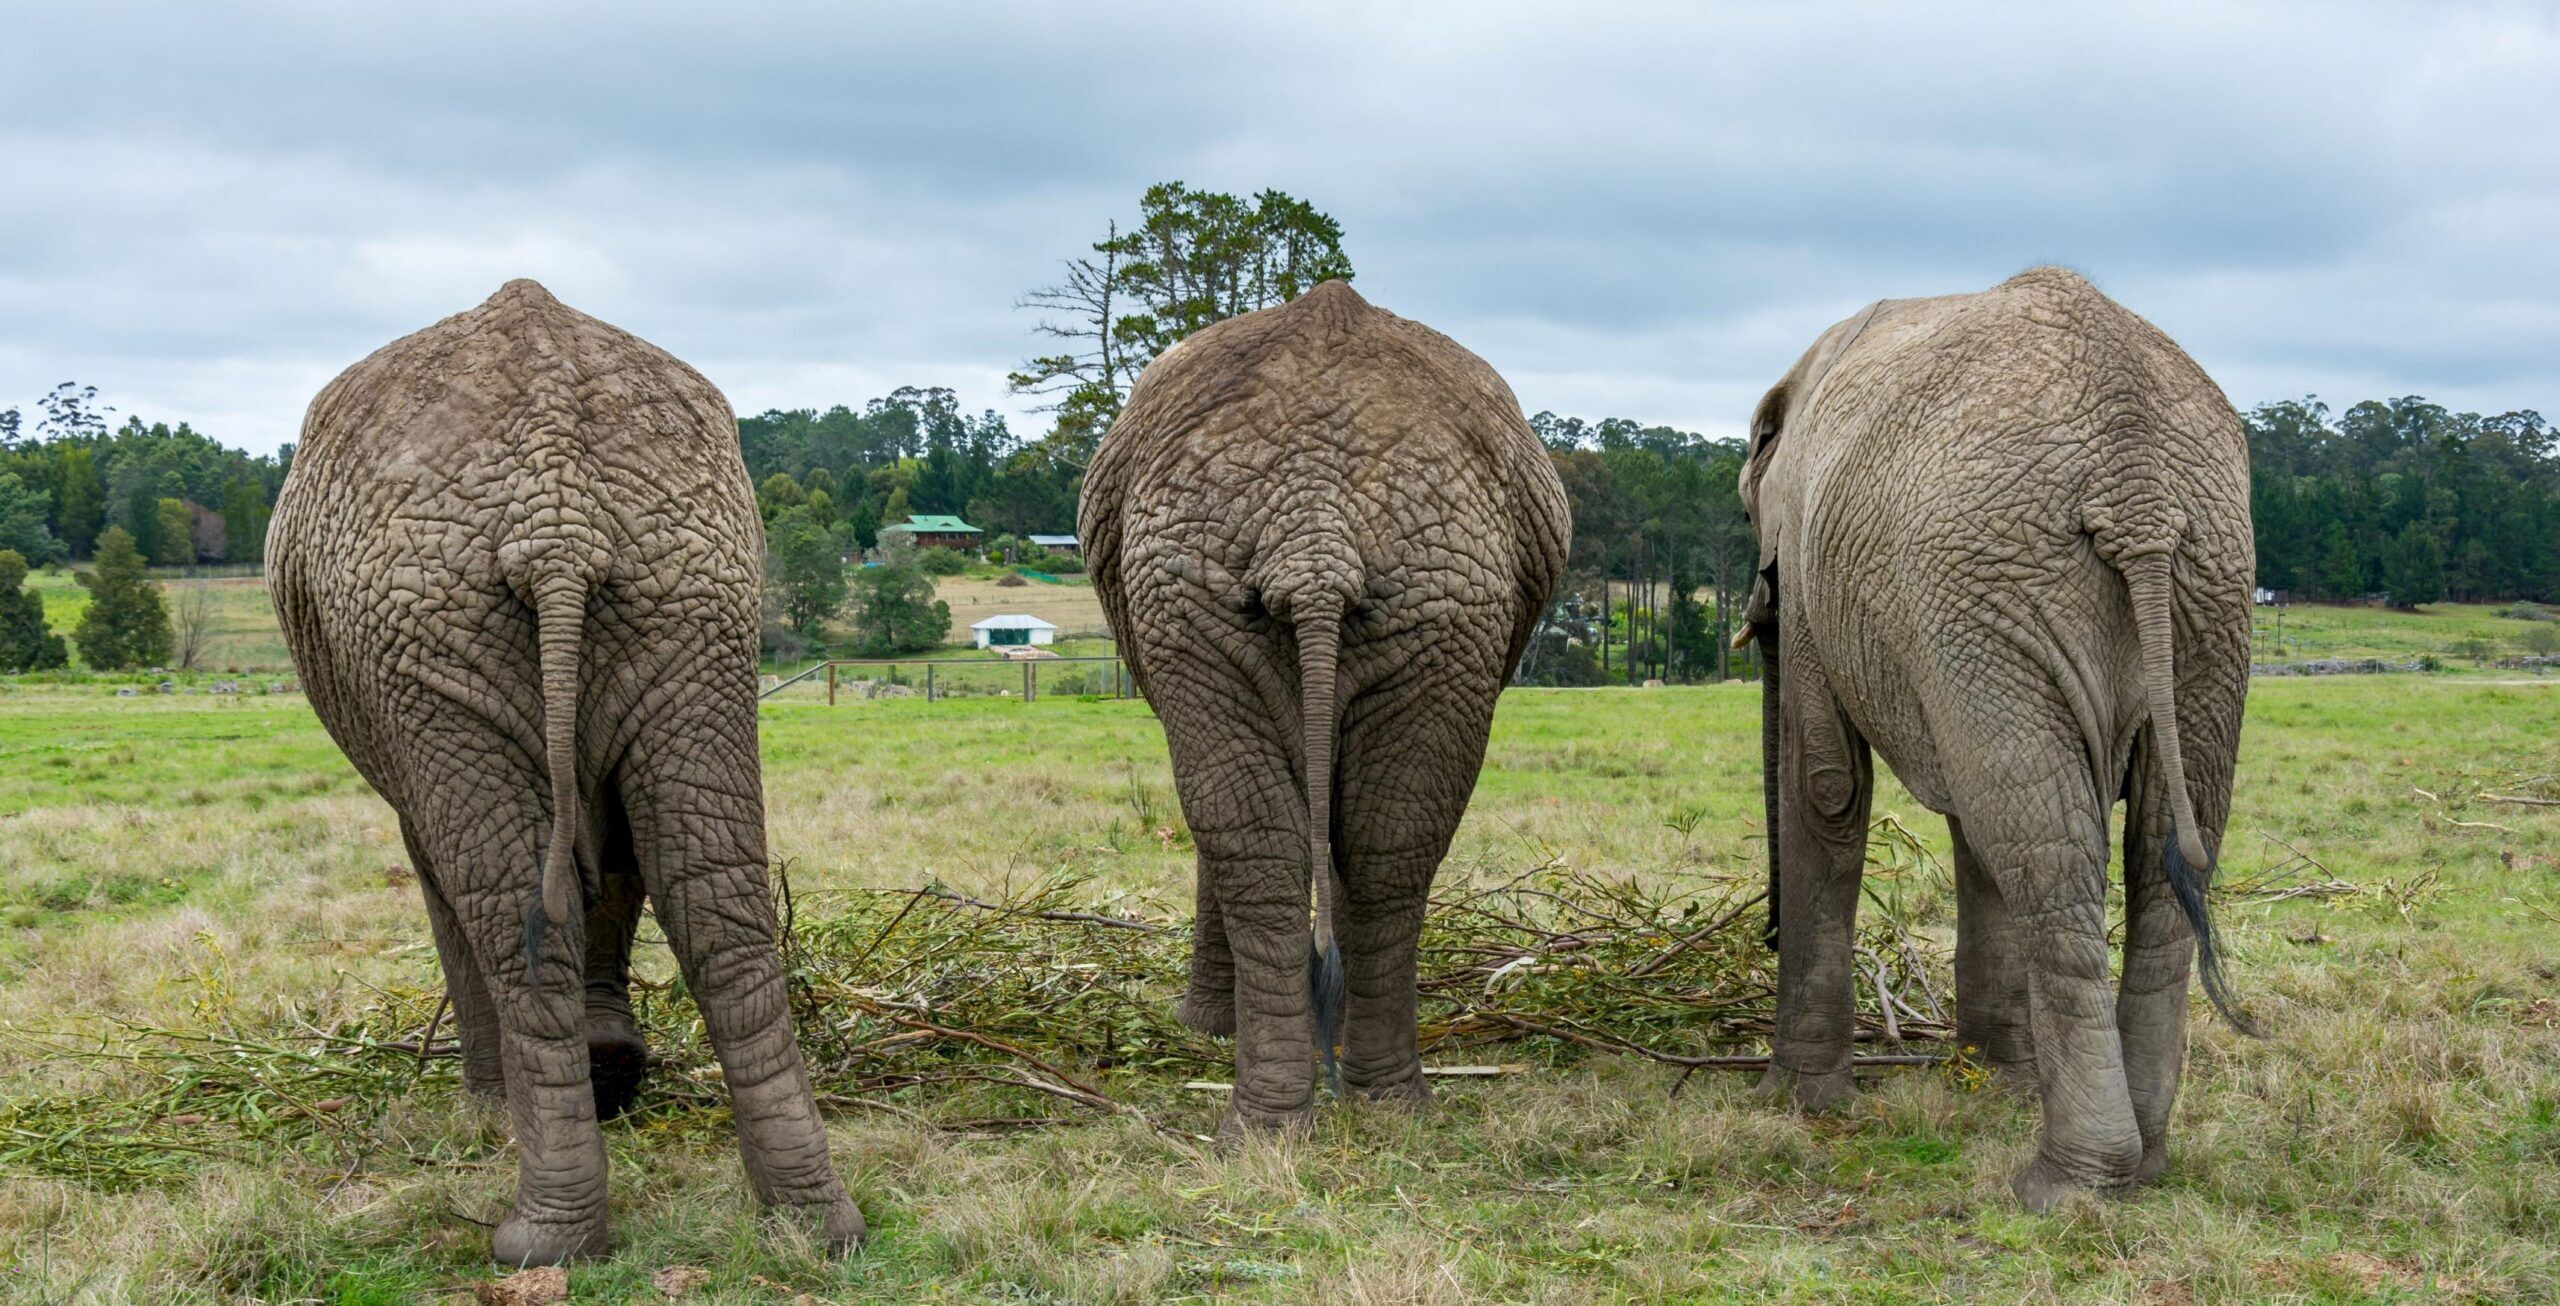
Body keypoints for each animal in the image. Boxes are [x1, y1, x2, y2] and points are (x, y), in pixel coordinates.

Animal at [268, 280, 862, 1263]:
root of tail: (559, 519)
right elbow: (617, 860)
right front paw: (612, 1070)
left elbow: (453, 872)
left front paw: (493, 1105)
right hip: (690, 596)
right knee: (713, 896)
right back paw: (814, 1223)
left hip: (426, 626)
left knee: (512, 911)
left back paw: (538, 1239)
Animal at [1081, 281, 1570, 1134]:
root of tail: (1314, 532)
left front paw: (1212, 1029)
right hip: (1429, 597)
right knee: (1376, 835)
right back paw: (1351, 1109)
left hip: (1239, 585)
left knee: (1282, 831)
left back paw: (1300, 1107)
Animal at [1734, 267, 2254, 1210]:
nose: (1765, 936)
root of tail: (2136, 484)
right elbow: (1971, 816)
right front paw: (1992, 1083)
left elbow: (1829, 786)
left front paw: (1796, 1104)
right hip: (2200, 600)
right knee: (2152, 847)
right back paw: (2144, 1163)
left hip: (1994, 585)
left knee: (2051, 856)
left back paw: (2065, 1185)